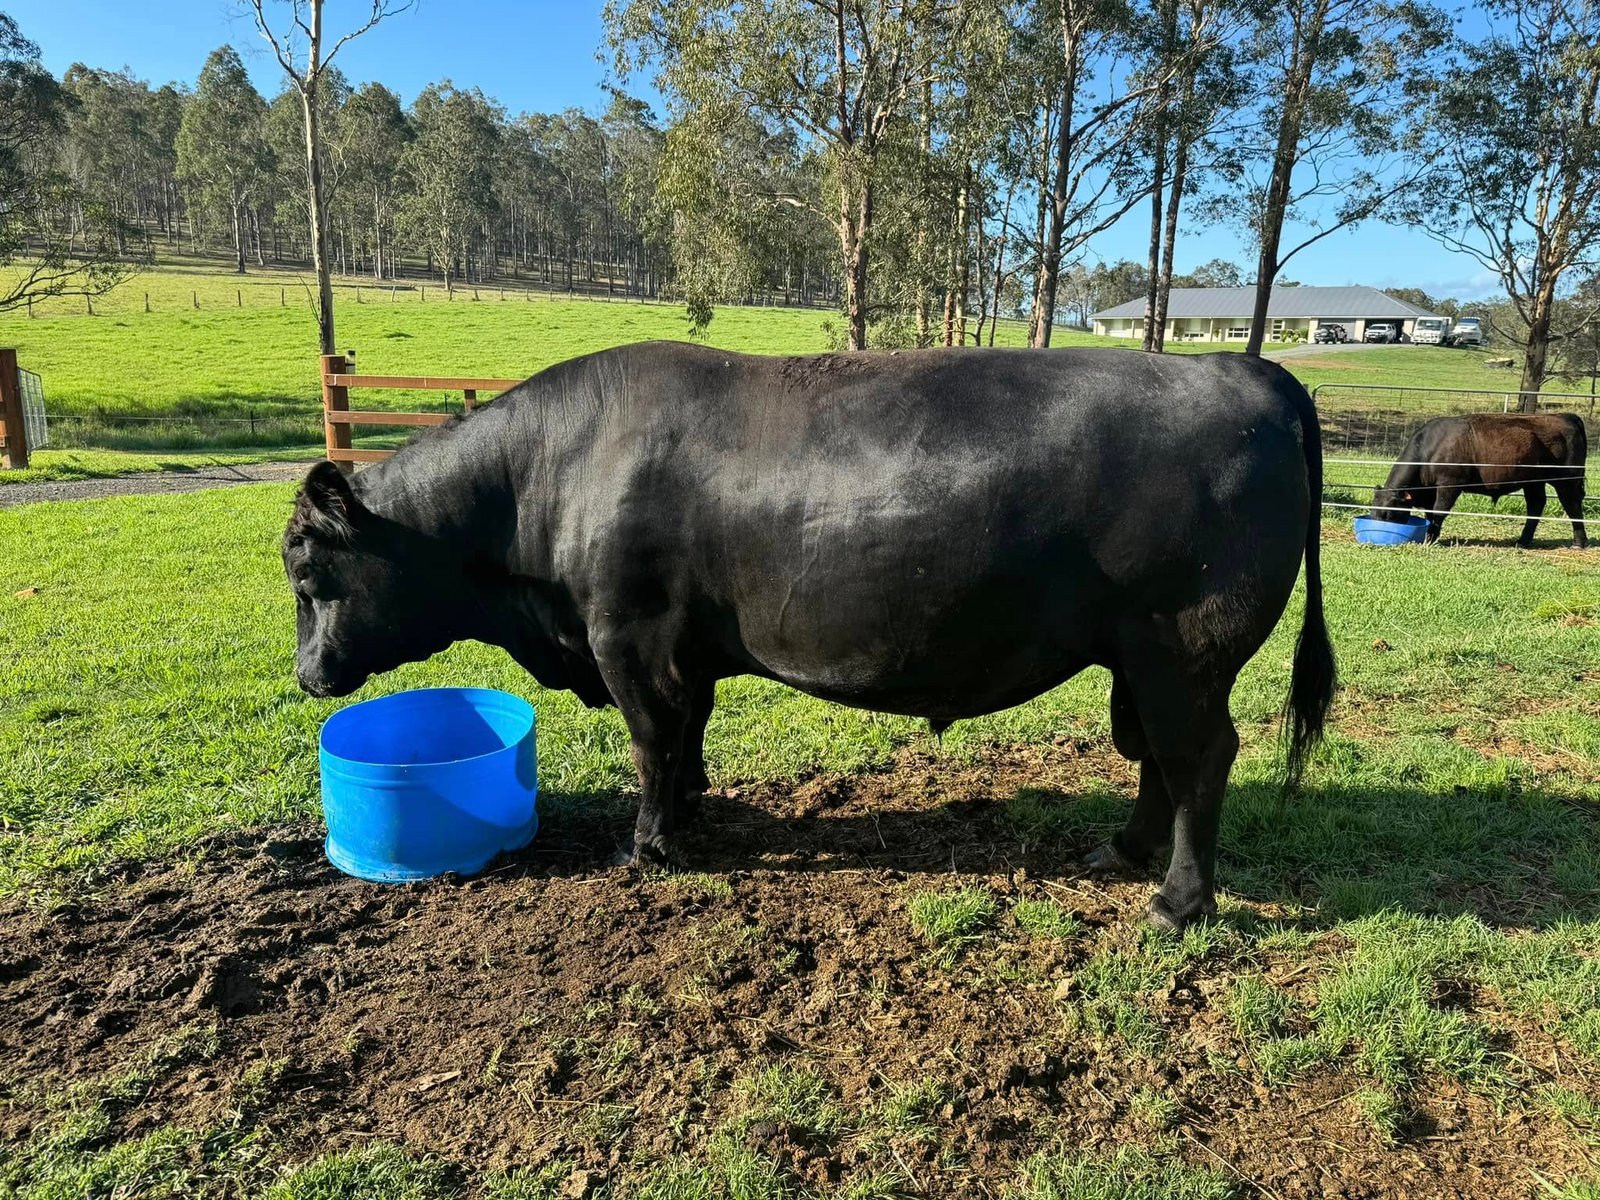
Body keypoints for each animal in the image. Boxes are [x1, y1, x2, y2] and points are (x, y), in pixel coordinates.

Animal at [284, 343, 1336, 930]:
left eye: (307, 575)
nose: (306, 676)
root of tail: (1238, 367)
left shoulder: (628, 637)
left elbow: (651, 737)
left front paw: (647, 847)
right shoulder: (685, 648)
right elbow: (689, 732)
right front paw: (690, 812)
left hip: (1183, 650)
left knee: (1199, 756)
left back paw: (1178, 904)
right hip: (1144, 657)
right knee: (1154, 754)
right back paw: (1123, 852)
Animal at [1370, 413, 1589, 548]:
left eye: (1388, 513)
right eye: (1372, 512)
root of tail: (1564, 416)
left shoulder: (1449, 485)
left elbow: (1439, 512)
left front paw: (1431, 538)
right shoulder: (1431, 491)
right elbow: (1430, 514)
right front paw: (1431, 534)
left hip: (1566, 479)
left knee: (1572, 505)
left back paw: (1579, 542)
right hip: (1534, 482)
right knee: (1536, 505)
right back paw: (1523, 540)